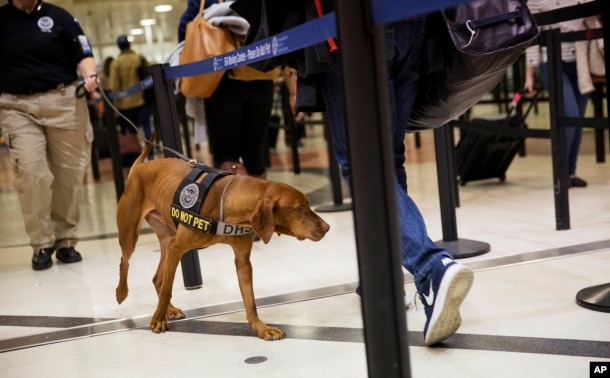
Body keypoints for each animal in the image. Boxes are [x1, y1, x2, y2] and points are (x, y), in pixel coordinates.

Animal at [117, 139, 330, 340]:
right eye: (300, 208)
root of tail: (138, 167)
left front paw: (261, 328)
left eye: (307, 205)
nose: (327, 227)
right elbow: (167, 289)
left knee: (158, 279)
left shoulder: (242, 261)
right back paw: (122, 293)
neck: (226, 204)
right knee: (126, 262)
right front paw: (157, 321)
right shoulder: (177, 249)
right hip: (131, 235)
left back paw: (170, 309)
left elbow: (250, 300)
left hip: (166, 239)